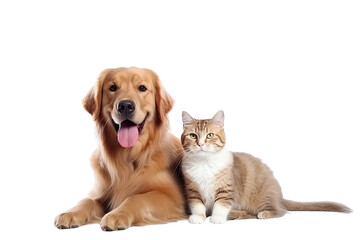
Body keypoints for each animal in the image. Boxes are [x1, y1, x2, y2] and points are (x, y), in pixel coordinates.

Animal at [55, 67, 188, 231]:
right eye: (113, 87)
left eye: (142, 88)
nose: (125, 106)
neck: (128, 155)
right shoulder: (101, 192)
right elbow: (87, 200)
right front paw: (71, 212)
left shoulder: (172, 197)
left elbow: (136, 198)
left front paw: (117, 214)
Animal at [181, 109, 350, 224]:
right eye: (193, 136)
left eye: (210, 135)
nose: (200, 144)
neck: (204, 162)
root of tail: (279, 197)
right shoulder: (193, 189)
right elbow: (197, 205)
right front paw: (198, 217)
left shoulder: (226, 189)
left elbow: (221, 204)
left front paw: (216, 218)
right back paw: (236, 214)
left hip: (260, 197)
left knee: (280, 211)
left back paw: (262, 214)